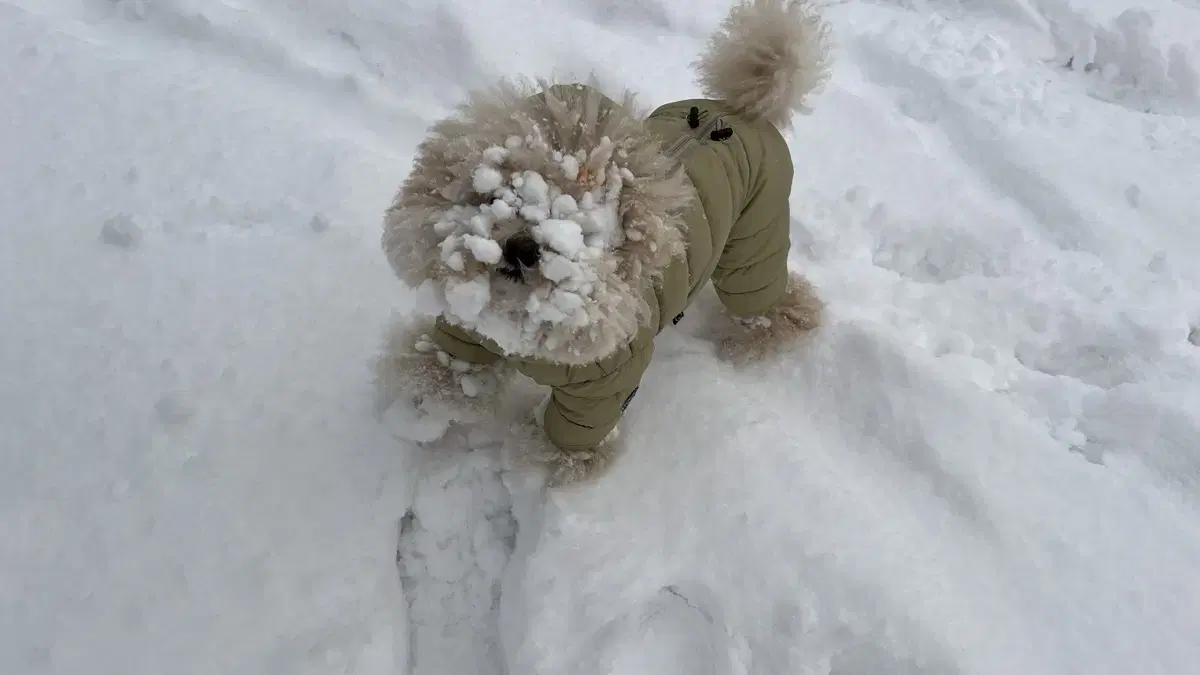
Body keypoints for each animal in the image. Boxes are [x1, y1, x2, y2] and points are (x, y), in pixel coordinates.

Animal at [376, 0, 835, 482]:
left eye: (585, 229)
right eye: (500, 194)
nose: (523, 248)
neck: (523, 322)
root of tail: (741, 109)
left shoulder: (607, 383)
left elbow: (570, 440)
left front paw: (536, 471)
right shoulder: (468, 331)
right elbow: (444, 368)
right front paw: (423, 410)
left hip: (754, 240)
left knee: (779, 305)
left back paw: (755, 339)